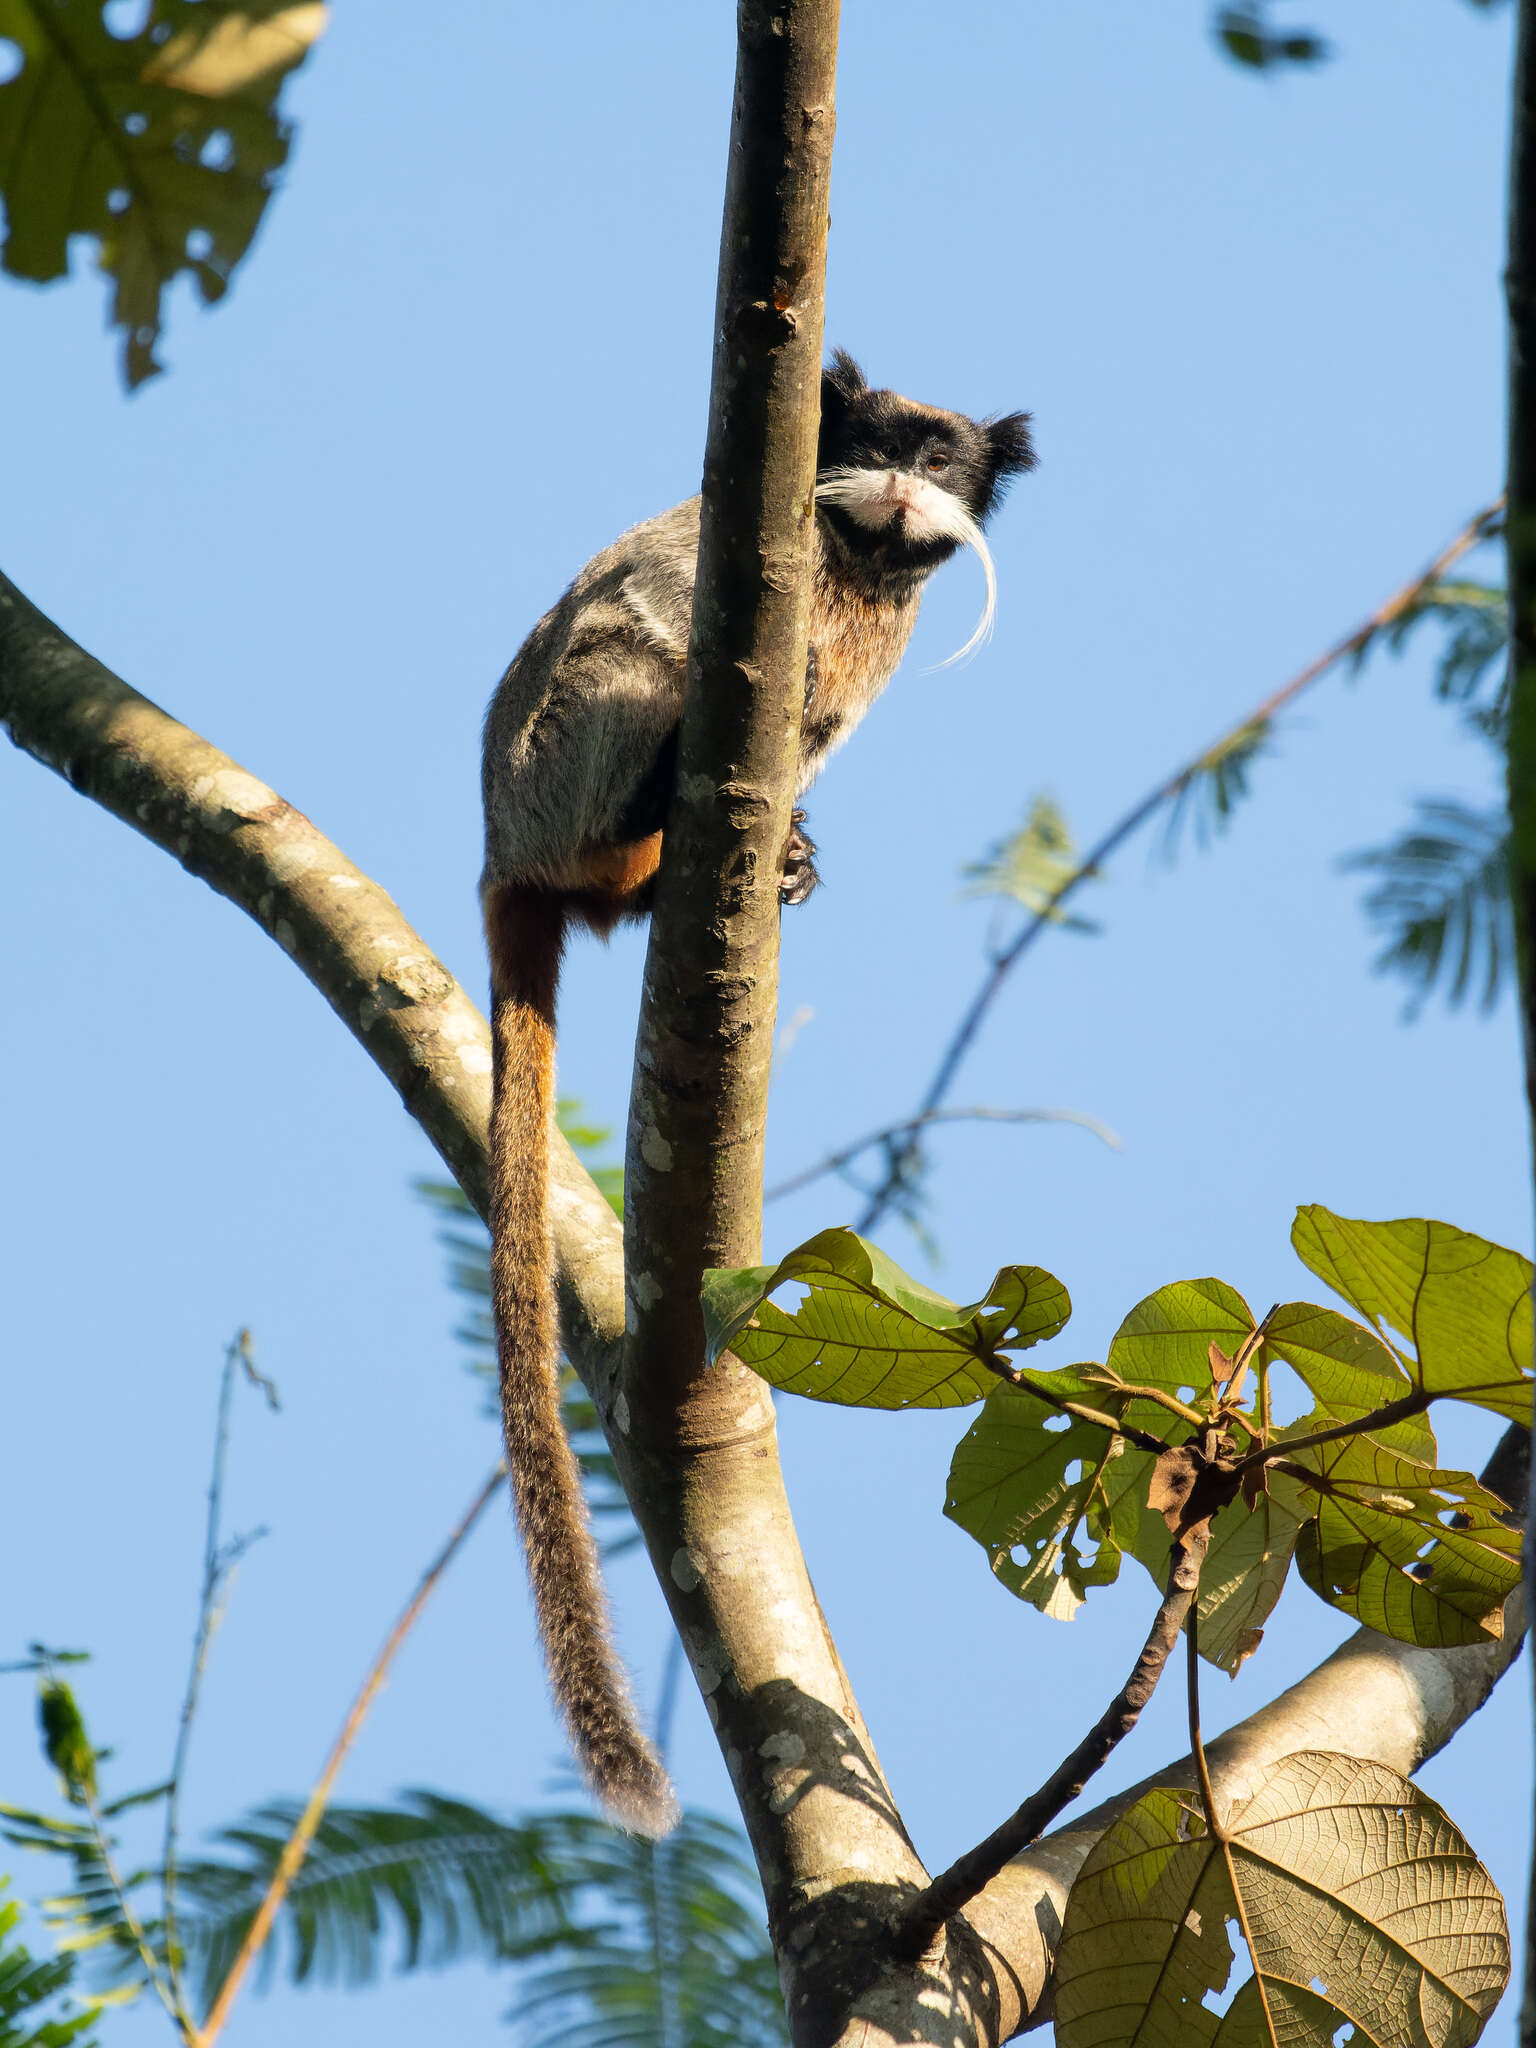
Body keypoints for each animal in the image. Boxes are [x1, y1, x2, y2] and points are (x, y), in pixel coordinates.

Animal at [481, 344, 1036, 1835]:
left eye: (941, 458)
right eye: (876, 439)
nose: (899, 479)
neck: (850, 573)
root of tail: (504, 855)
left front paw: (796, 837)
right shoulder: (723, 553)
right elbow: (649, 605)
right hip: (553, 764)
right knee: (627, 668)